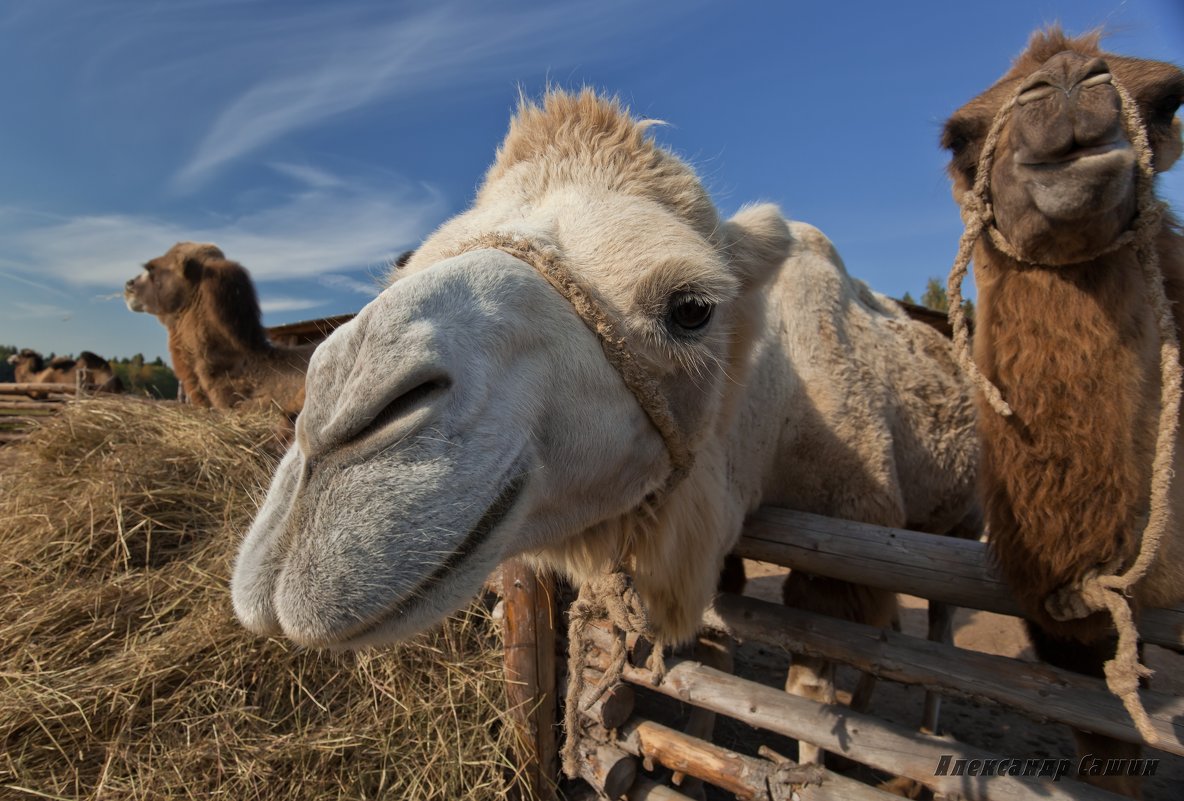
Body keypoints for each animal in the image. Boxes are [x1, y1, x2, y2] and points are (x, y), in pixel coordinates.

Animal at [230, 89, 980, 780]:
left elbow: (811, 698)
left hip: (961, 519)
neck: (779, 415)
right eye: (403, 270)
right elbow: (716, 653)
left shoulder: (848, 542)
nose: (333, 425)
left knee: (941, 621)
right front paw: (684, 761)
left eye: (692, 307)